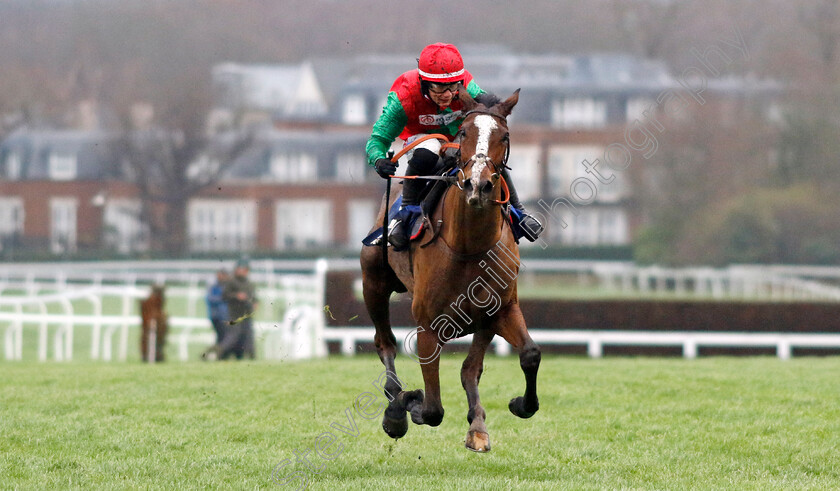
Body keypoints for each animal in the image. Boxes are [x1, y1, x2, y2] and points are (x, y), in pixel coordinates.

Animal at [360, 88, 540, 454]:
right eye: (464, 133)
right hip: (373, 283)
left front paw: (517, 406)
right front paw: (405, 405)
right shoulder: (428, 324)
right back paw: (395, 404)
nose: (478, 186)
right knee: (385, 343)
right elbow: (431, 408)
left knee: (470, 369)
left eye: (504, 136)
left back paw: (476, 425)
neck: (469, 247)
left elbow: (526, 355)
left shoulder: (500, 311)